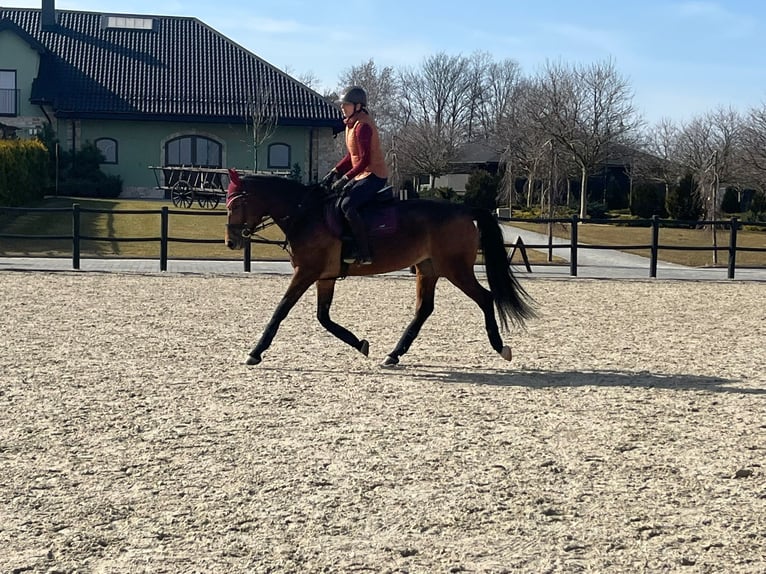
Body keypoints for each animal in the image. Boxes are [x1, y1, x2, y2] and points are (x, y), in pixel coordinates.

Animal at [224, 169, 536, 367]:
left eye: (236, 204)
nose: (231, 242)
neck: (305, 214)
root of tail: (464, 209)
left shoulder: (306, 273)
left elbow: (281, 310)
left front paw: (255, 352)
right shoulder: (325, 277)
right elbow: (323, 318)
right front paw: (360, 343)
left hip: (455, 269)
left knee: (485, 297)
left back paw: (500, 347)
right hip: (428, 269)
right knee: (424, 309)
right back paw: (394, 354)